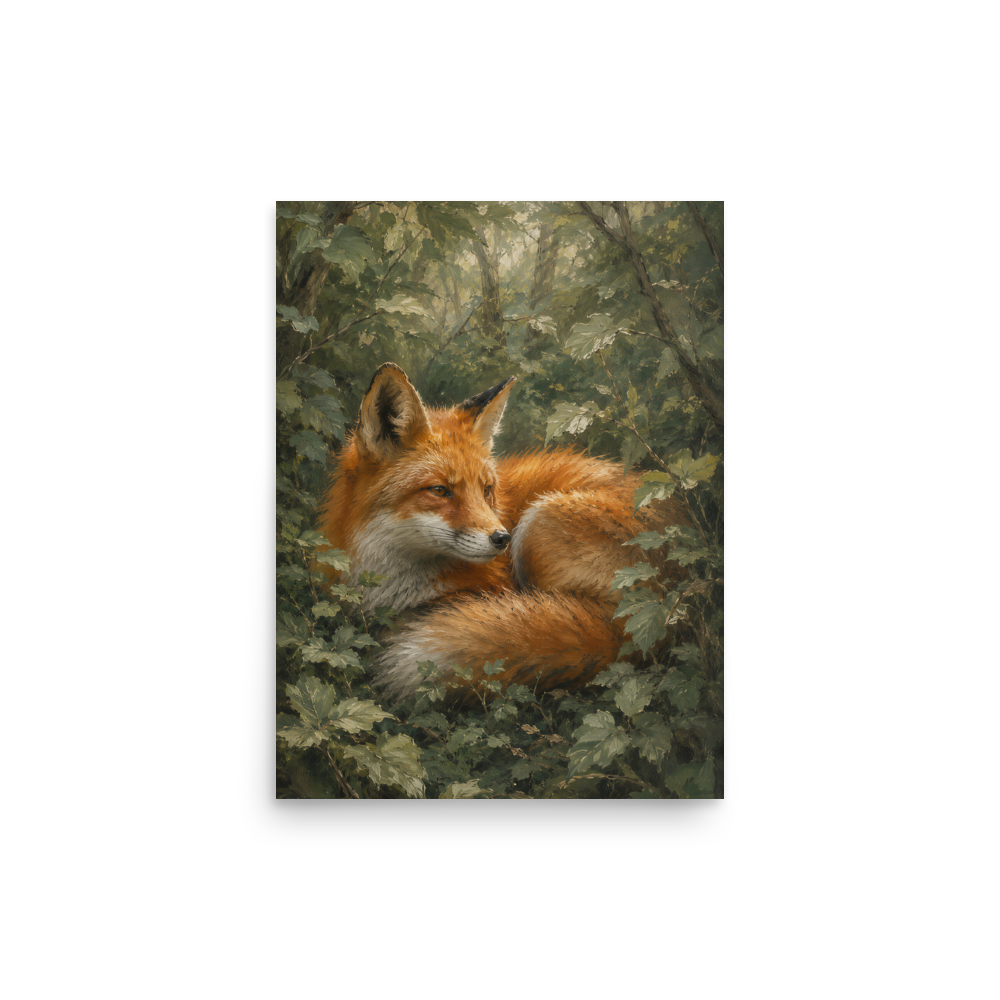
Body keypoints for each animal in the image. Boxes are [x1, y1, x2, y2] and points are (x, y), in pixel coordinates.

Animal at [315, 362, 692, 704]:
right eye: (439, 490)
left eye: (486, 490)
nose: (501, 539)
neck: (391, 581)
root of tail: (657, 617)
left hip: (539, 526)